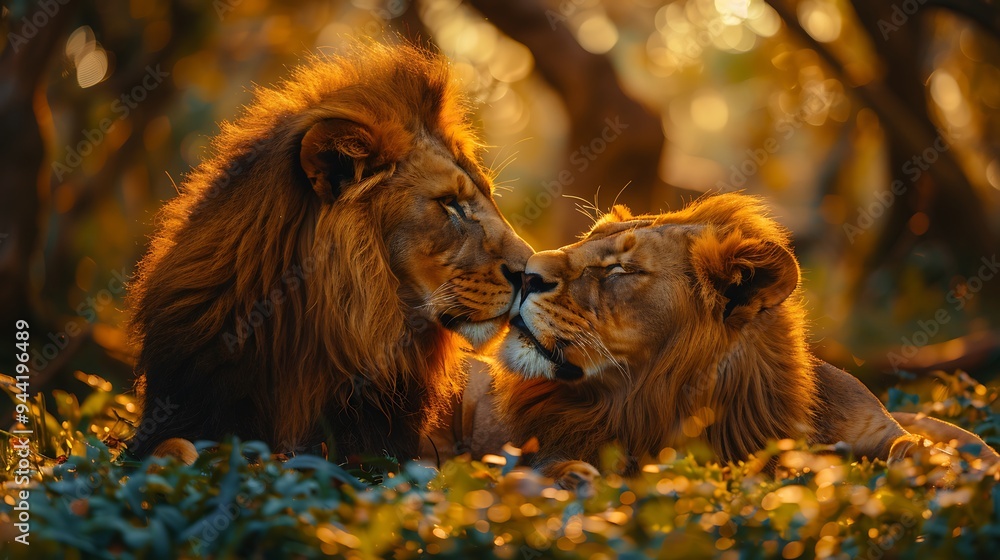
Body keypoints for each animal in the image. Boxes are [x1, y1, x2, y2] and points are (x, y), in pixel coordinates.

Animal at [491, 193, 998, 486]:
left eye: (621, 270)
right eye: (585, 240)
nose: (525, 273)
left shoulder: (877, 428)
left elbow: (911, 446)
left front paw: (941, 469)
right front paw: (570, 476)